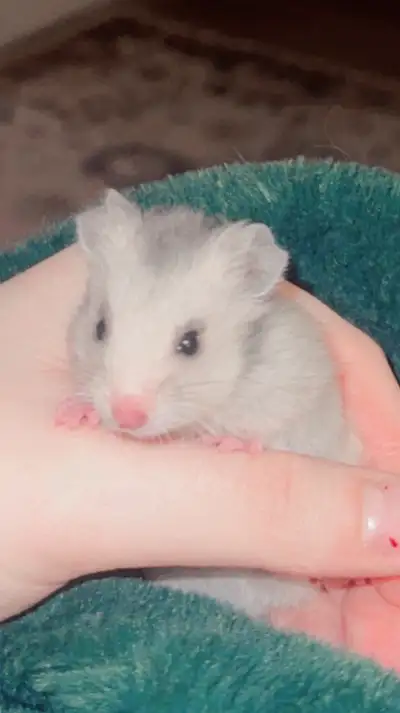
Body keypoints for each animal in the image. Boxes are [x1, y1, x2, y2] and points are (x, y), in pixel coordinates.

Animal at [62, 188, 361, 620]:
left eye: (191, 343)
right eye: (100, 328)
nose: (126, 416)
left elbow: (278, 434)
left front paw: (231, 443)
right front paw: (74, 414)